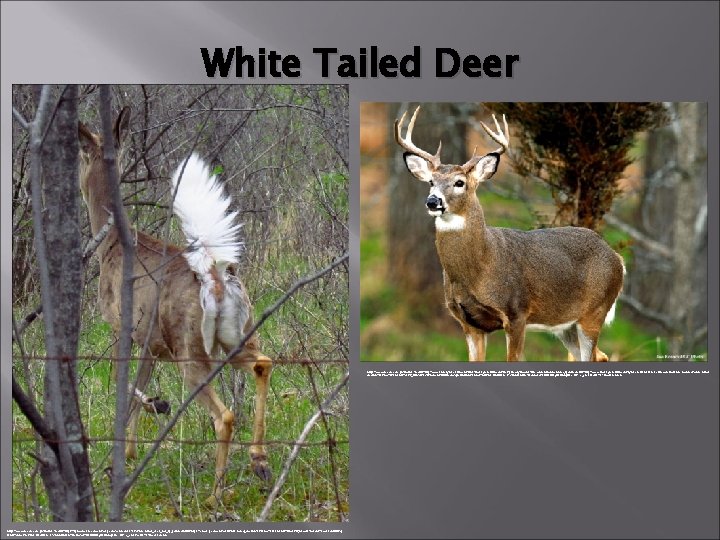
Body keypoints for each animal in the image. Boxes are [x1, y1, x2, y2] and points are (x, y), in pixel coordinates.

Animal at [78, 107, 272, 505]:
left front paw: (134, 440)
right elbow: (136, 386)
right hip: (237, 336)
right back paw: (259, 461)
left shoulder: (125, 328)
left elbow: (124, 386)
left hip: (190, 348)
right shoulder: (151, 342)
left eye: (79, 156)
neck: (112, 245)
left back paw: (215, 495)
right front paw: (130, 452)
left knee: (224, 415)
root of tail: (215, 278)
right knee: (263, 363)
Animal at [394, 106, 625, 362]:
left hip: (595, 310)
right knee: (599, 356)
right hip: (565, 324)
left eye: (459, 182)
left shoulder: (516, 312)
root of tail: (617, 258)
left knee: (592, 355)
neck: (479, 267)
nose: (433, 201)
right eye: (431, 182)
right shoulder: (468, 322)